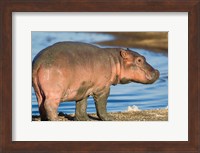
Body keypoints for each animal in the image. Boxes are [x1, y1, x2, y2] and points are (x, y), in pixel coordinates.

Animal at [31, 41, 159, 120]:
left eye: (143, 57)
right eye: (139, 60)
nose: (157, 71)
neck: (116, 61)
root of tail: (38, 63)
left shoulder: (83, 88)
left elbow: (82, 105)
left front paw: (85, 119)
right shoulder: (102, 89)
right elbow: (101, 105)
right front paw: (109, 118)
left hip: (38, 91)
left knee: (41, 105)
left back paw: (45, 120)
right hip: (54, 93)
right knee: (50, 106)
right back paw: (56, 119)